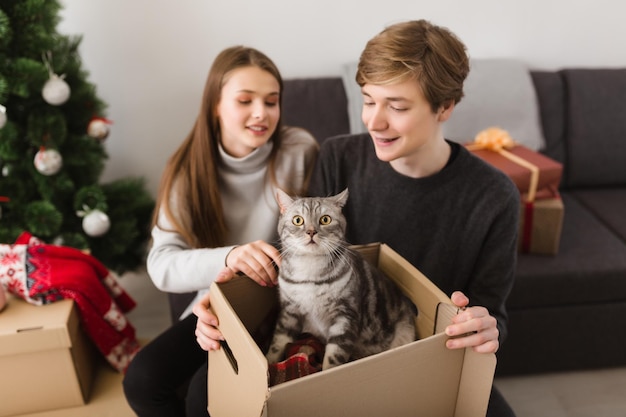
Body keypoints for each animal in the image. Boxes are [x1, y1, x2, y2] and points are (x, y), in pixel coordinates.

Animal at [264, 187, 414, 368]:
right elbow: (277, 343)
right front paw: (268, 364)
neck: (310, 270)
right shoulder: (289, 312)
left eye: (325, 219)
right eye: (298, 220)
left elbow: (333, 359)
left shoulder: (345, 317)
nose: (311, 231)